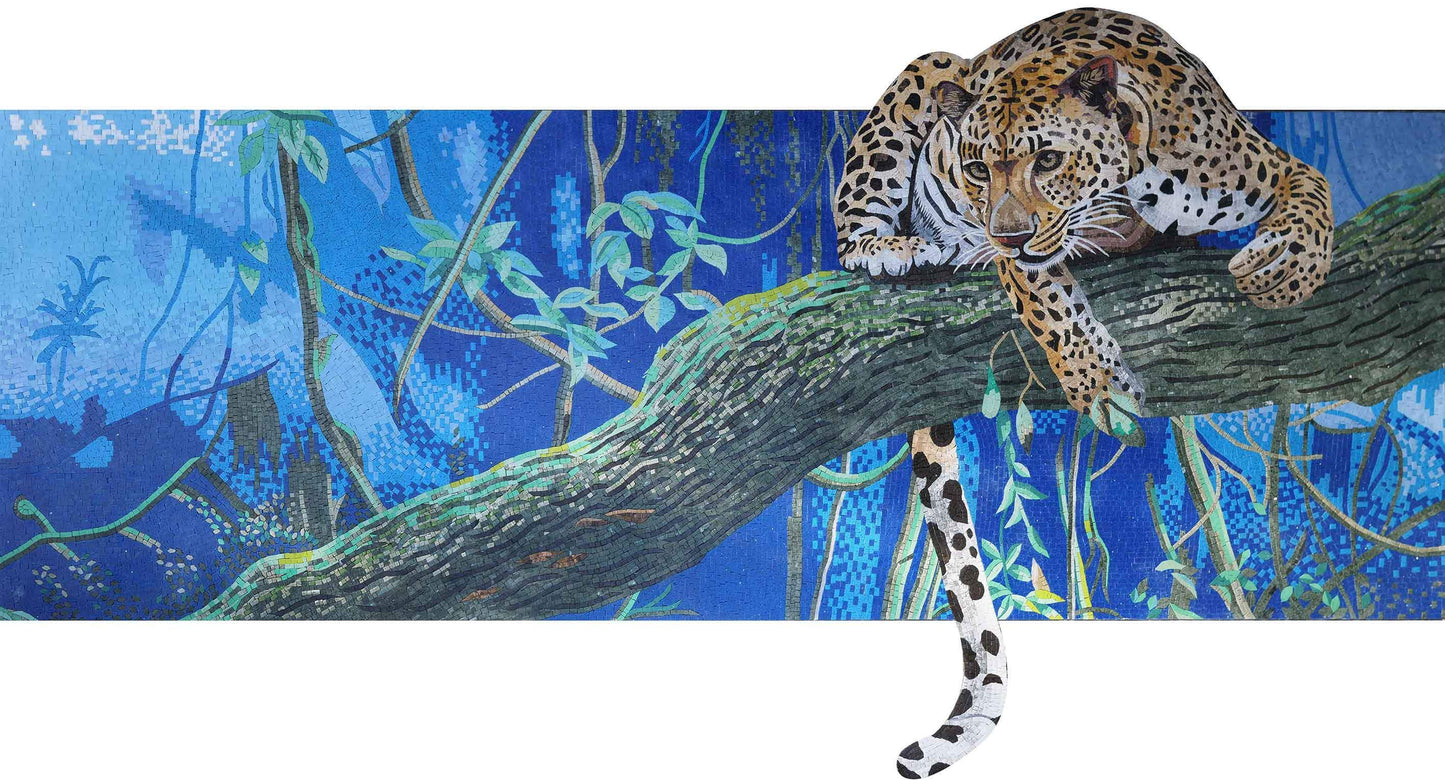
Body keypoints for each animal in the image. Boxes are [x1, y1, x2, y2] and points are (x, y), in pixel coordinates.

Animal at [833, 9, 1334, 778]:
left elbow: (1312, 189)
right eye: (976, 168)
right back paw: (893, 248)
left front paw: (1283, 270)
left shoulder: (1260, 164)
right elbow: (1048, 299)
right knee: (852, 224)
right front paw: (1099, 385)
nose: (1003, 231)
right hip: (925, 72)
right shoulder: (1022, 254)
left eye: (1046, 160)